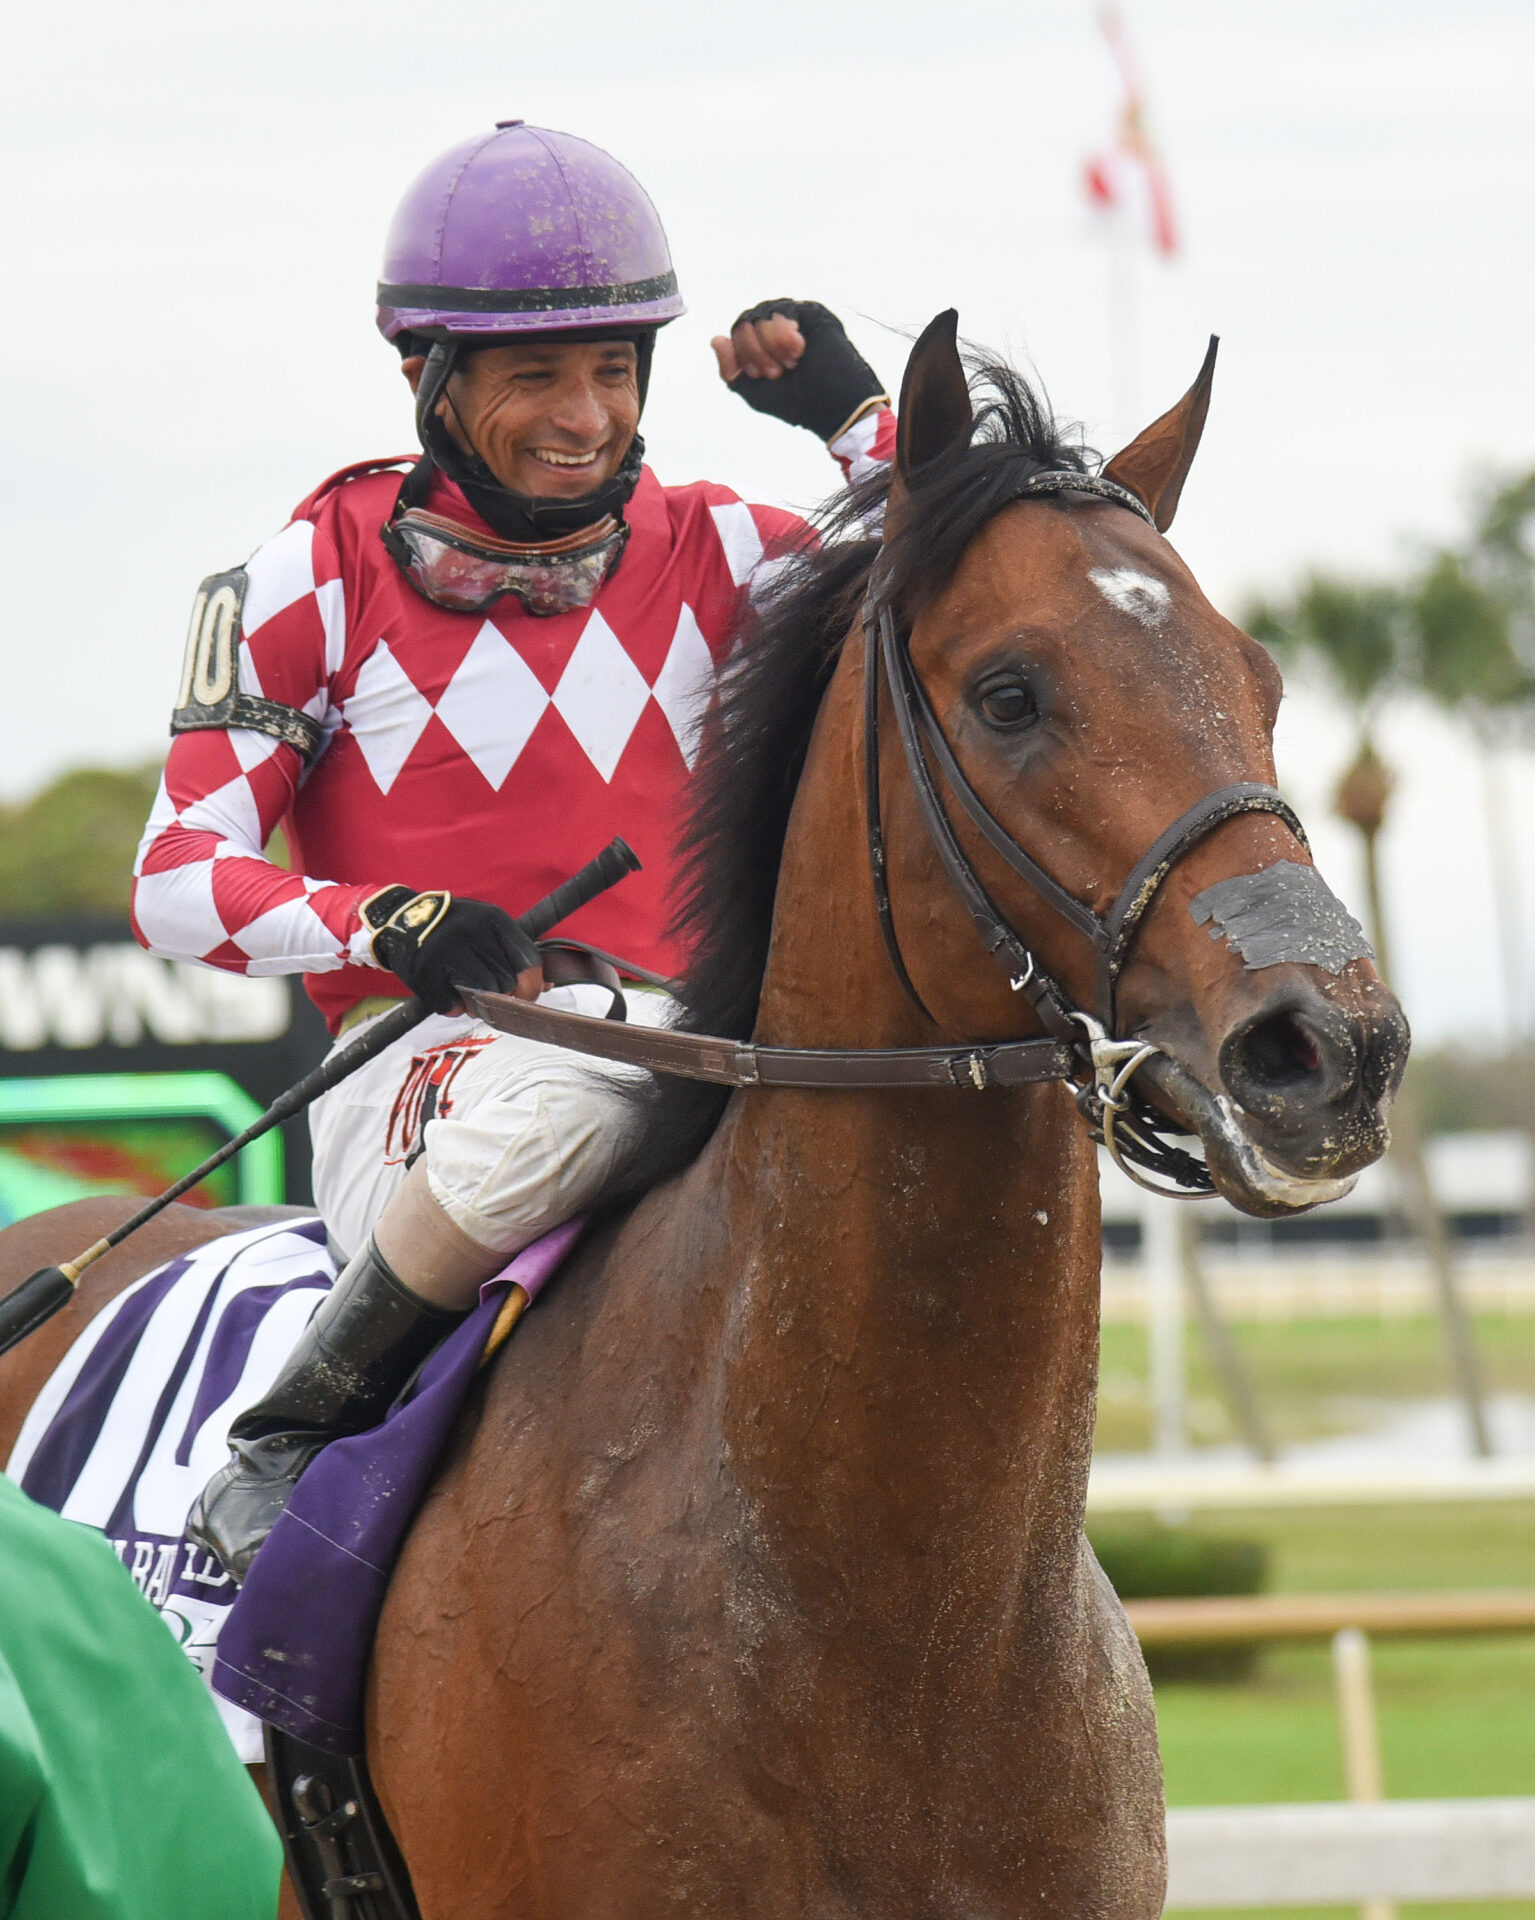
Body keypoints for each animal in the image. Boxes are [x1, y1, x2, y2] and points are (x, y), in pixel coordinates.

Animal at [0, 311, 1406, 1904]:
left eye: (1259, 680)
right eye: (1009, 693)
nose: (1328, 1048)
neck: (903, 1627)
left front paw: (817, 372)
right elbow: (186, 851)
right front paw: (444, 931)